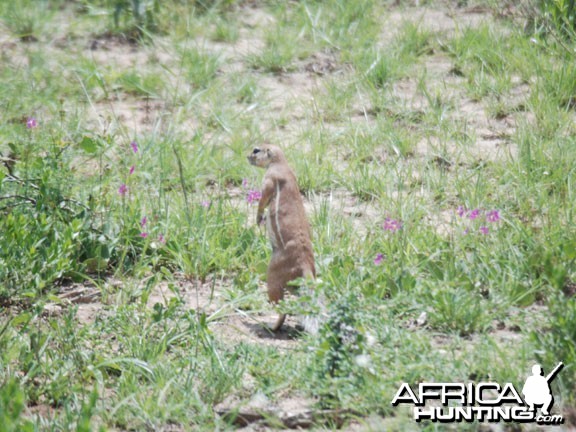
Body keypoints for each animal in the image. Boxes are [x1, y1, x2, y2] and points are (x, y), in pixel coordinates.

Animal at [248, 143, 318, 332]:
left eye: (256, 150)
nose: (247, 157)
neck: (281, 163)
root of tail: (305, 265)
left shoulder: (269, 179)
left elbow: (263, 199)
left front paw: (258, 218)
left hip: (272, 276)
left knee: (282, 308)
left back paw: (271, 326)